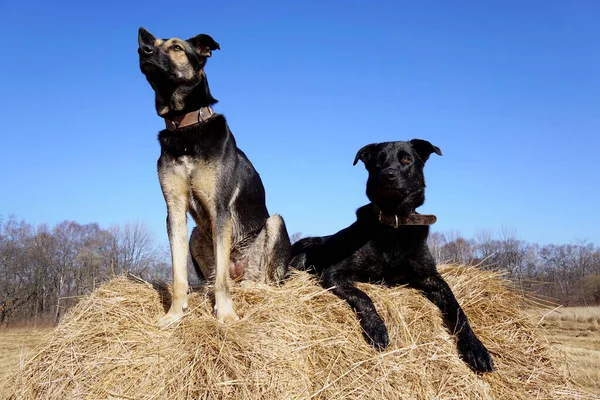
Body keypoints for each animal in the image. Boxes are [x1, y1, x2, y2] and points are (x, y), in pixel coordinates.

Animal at [139, 28, 292, 328]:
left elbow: (222, 281)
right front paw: (174, 315)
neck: (185, 128)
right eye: (152, 43)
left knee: (257, 280)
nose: (143, 50)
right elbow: (178, 275)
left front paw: (226, 314)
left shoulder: (219, 207)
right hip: (196, 235)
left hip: (274, 227)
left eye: (176, 47)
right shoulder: (174, 209)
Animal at [290, 140, 492, 372]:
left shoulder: (431, 278)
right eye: (378, 161)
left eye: (406, 159)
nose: (388, 175)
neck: (394, 222)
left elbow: (458, 309)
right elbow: (363, 296)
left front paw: (476, 348)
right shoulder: (333, 273)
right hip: (304, 250)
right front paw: (377, 328)